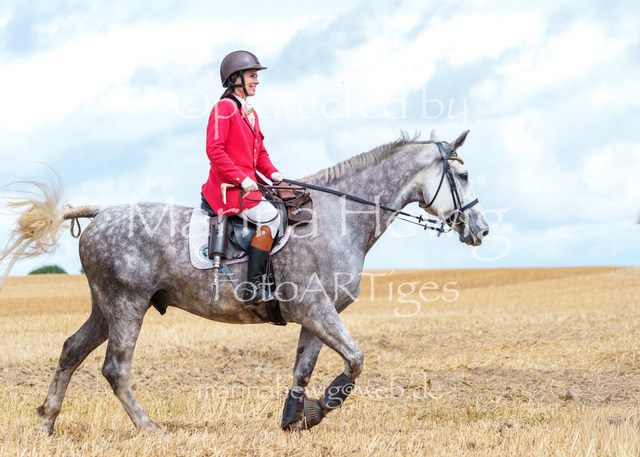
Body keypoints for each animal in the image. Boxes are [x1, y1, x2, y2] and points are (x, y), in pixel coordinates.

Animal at [1, 130, 489, 434]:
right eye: (463, 175)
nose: (481, 230)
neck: (339, 217)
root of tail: (100, 214)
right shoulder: (315, 309)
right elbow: (355, 360)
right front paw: (319, 409)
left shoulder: (315, 315)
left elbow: (303, 368)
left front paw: (296, 417)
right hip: (126, 306)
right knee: (115, 368)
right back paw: (151, 428)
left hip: (104, 308)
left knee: (71, 351)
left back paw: (47, 422)